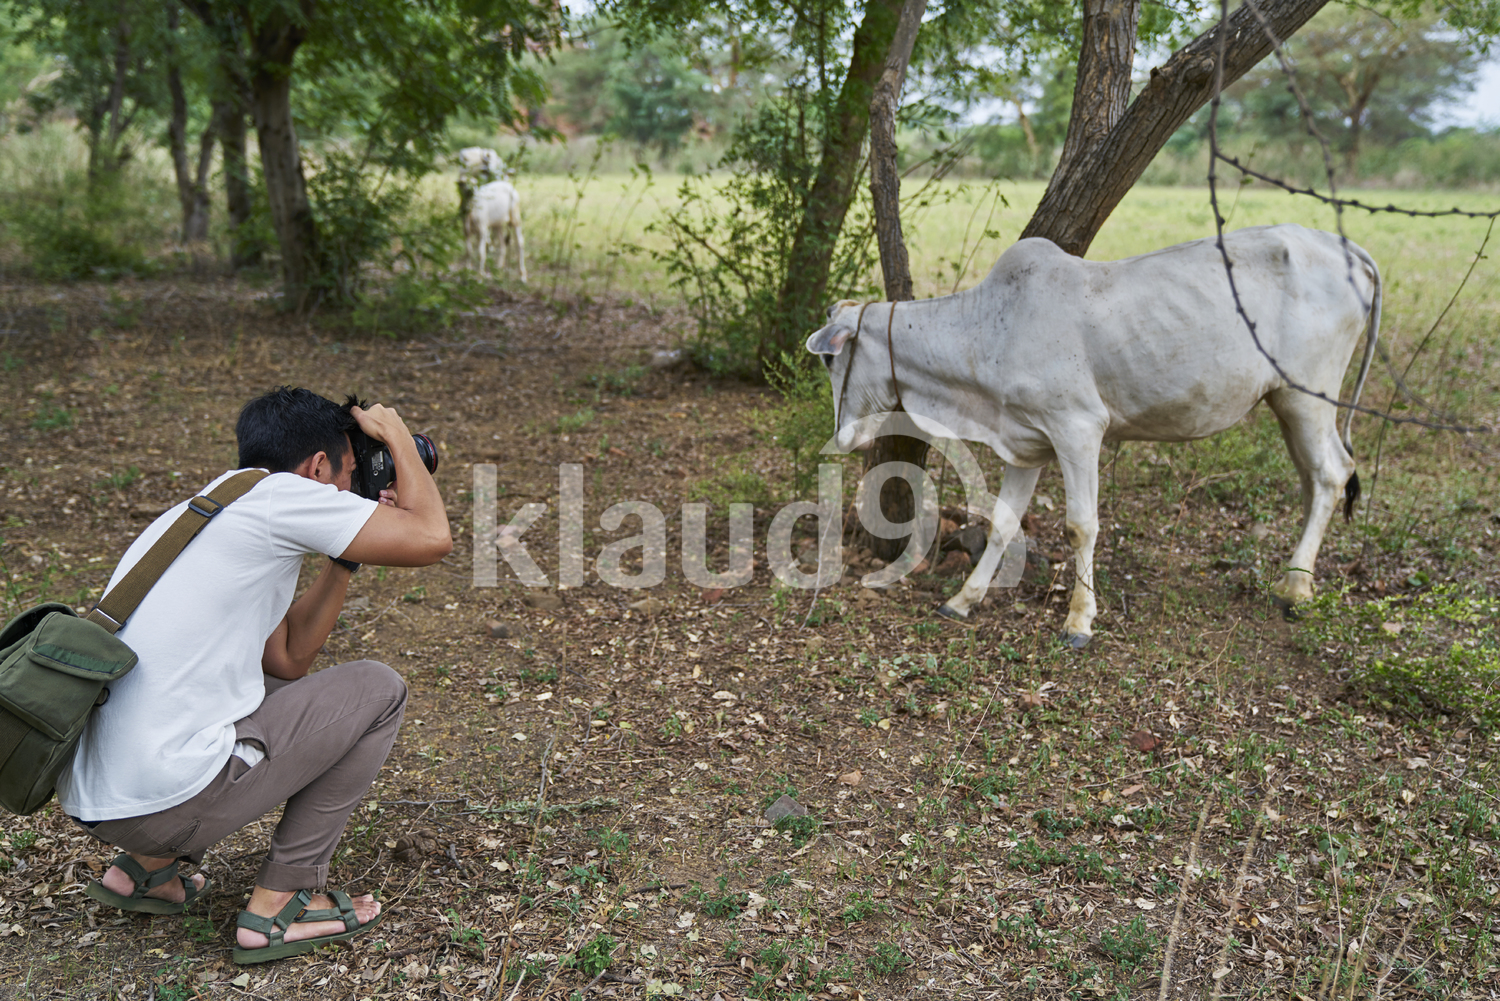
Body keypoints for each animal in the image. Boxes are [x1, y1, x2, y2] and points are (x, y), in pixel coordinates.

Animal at [806, 225, 1381, 648]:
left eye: (831, 359)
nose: (843, 436)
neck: (989, 332)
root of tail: (1343, 244)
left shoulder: (1078, 429)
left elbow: (1081, 526)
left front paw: (1079, 621)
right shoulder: (1025, 442)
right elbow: (1002, 523)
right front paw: (964, 600)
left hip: (1309, 396)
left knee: (1331, 473)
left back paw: (1296, 588)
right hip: (1286, 403)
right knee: (1312, 477)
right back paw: (1294, 573)